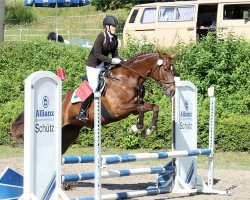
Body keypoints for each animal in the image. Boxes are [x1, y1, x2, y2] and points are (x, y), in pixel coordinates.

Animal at [10, 50, 176, 154]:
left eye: (173, 70)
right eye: (166, 69)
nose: (172, 92)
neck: (126, 79)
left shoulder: (133, 107)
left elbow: (152, 107)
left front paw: (146, 129)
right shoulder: (119, 109)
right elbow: (142, 108)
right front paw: (137, 128)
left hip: (69, 133)